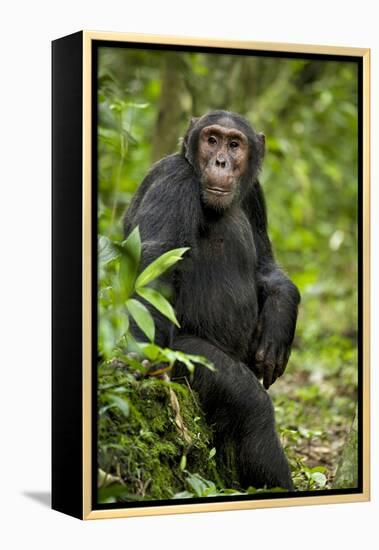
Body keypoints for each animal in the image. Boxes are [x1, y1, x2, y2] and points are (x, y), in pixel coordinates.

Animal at [124, 111, 300, 492]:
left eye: (234, 144)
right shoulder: (174, 180)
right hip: (183, 357)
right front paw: (138, 358)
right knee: (253, 409)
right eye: (212, 140)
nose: (220, 160)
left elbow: (266, 265)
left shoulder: (255, 194)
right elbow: (155, 266)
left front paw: (278, 328)